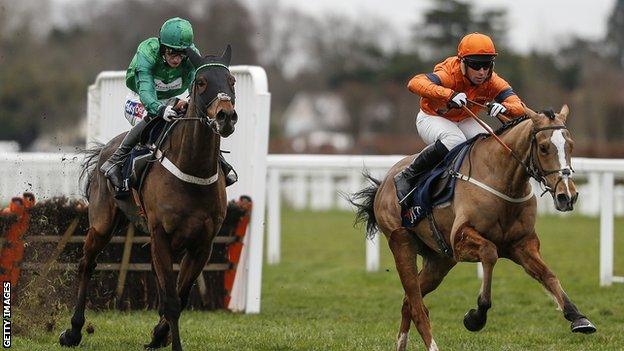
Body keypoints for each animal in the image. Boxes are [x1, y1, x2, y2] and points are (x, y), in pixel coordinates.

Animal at [58, 46, 236, 351]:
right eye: (201, 83)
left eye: (232, 81)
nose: (226, 116)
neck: (193, 170)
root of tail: (104, 150)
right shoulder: (161, 234)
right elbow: (173, 301)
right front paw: (170, 342)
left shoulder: (203, 243)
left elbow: (180, 296)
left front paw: (158, 335)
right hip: (103, 223)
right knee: (86, 264)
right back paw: (73, 331)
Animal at [354, 106, 596, 351]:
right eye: (544, 147)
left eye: (571, 145)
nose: (567, 196)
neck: (502, 180)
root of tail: (385, 182)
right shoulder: (461, 240)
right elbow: (490, 253)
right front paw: (476, 316)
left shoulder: (523, 244)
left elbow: (548, 275)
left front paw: (578, 317)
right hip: (402, 243)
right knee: (417, 305)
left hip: (440, 260)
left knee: (408, 302)